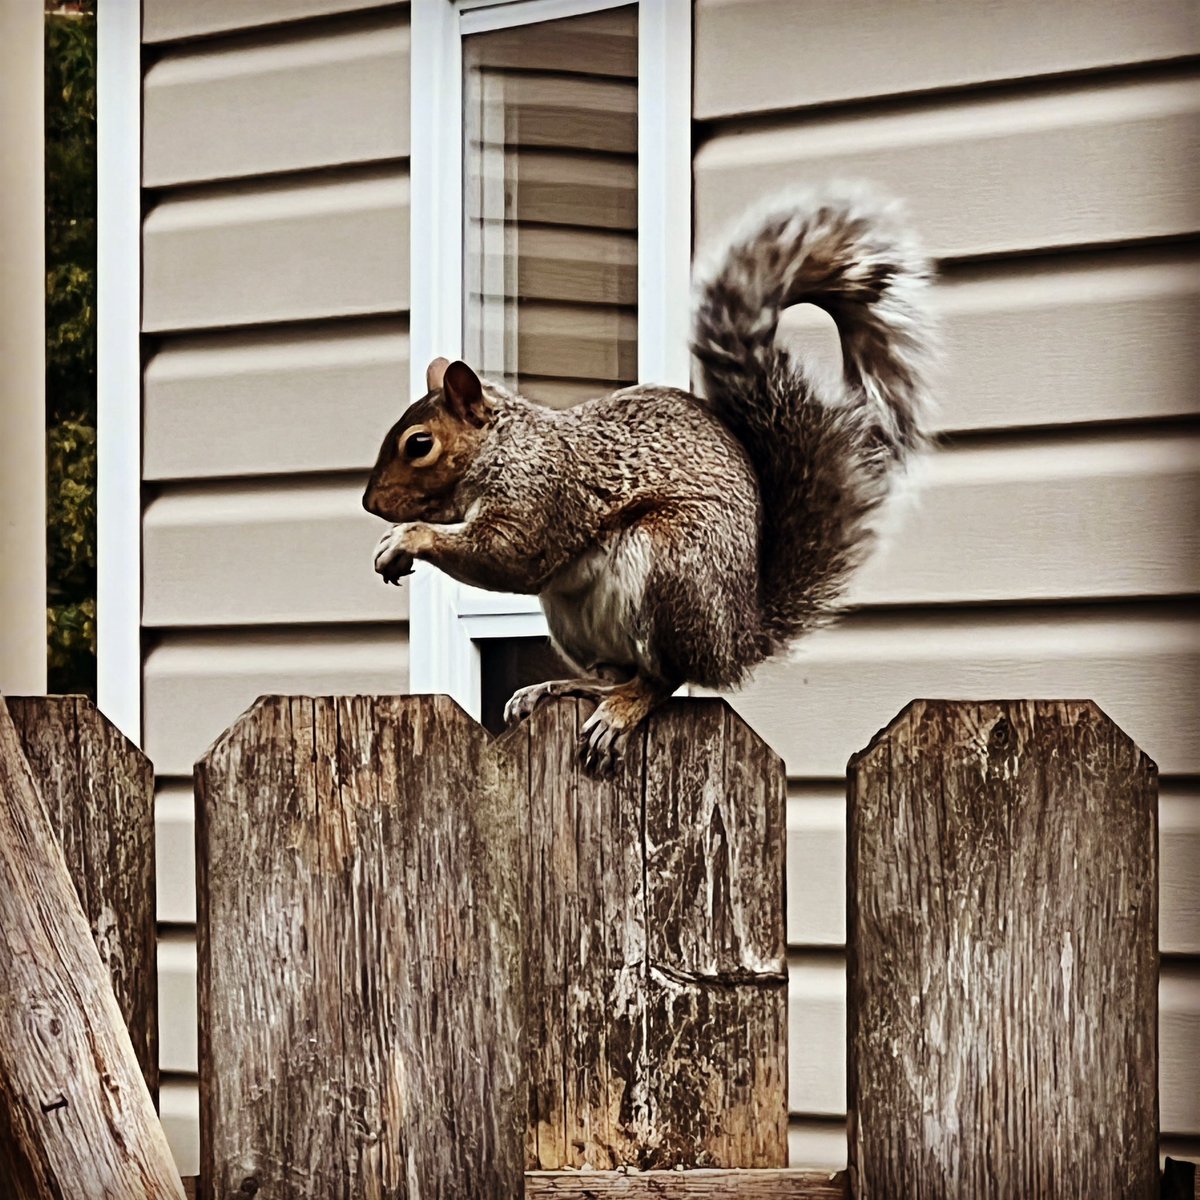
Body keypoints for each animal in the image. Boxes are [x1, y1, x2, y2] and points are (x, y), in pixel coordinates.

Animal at [363, 184, 936, 775]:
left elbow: (512, 555)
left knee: (663, 677)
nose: (369, 503)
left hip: (668, 566)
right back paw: (563, 688)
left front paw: (406, 538)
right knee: (616, 673)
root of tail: (736, 639)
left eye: (419, 445)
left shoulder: (544, 493)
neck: (507, 446)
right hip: (572, 616)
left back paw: (621, 709)